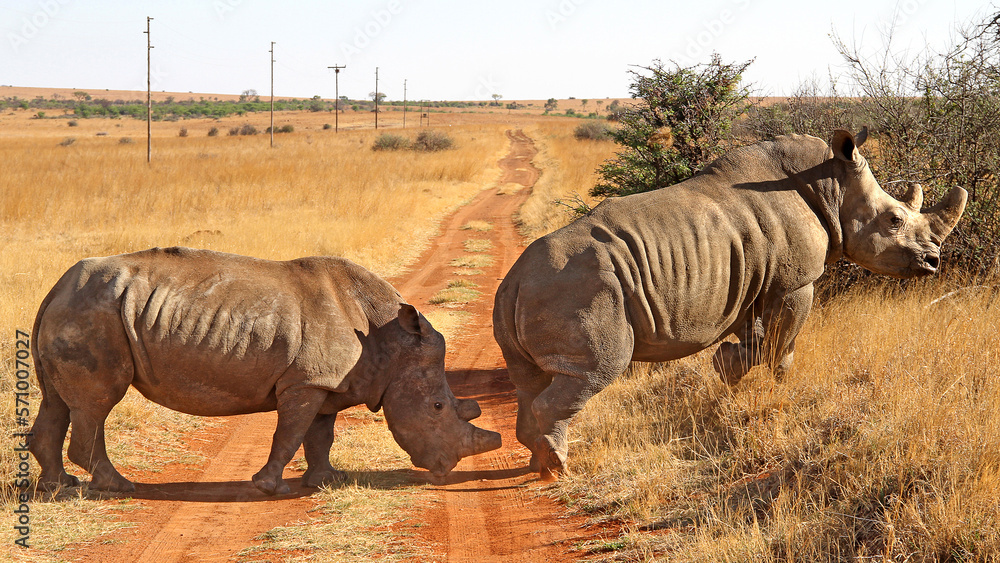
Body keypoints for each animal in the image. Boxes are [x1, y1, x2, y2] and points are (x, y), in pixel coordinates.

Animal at [30, 247, 501, 495]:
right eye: (438, 407)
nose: (444, 471)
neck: (391, 339)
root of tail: (55, 287)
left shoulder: (324, 384)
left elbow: (320, 435)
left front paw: (326, 480)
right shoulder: (305, 383)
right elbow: (289, 433)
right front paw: (268, 487)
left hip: (77, 309)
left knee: (58, 402)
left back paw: (59, 486)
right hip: (93, 314)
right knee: (97, 403)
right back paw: (119, 486)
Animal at [494, 129, 967, 480]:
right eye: (894, 220)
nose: (933, 262)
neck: (831, 185)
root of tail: (513, 281)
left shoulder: (749, 283)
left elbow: (758, 339)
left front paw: (727, 368)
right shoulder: (795, 282)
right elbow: (781, 346)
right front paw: (771, 386)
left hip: (531, 294)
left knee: (529, 380)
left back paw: (538, 463)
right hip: (579, 289)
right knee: (595, 369)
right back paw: (558, 467)